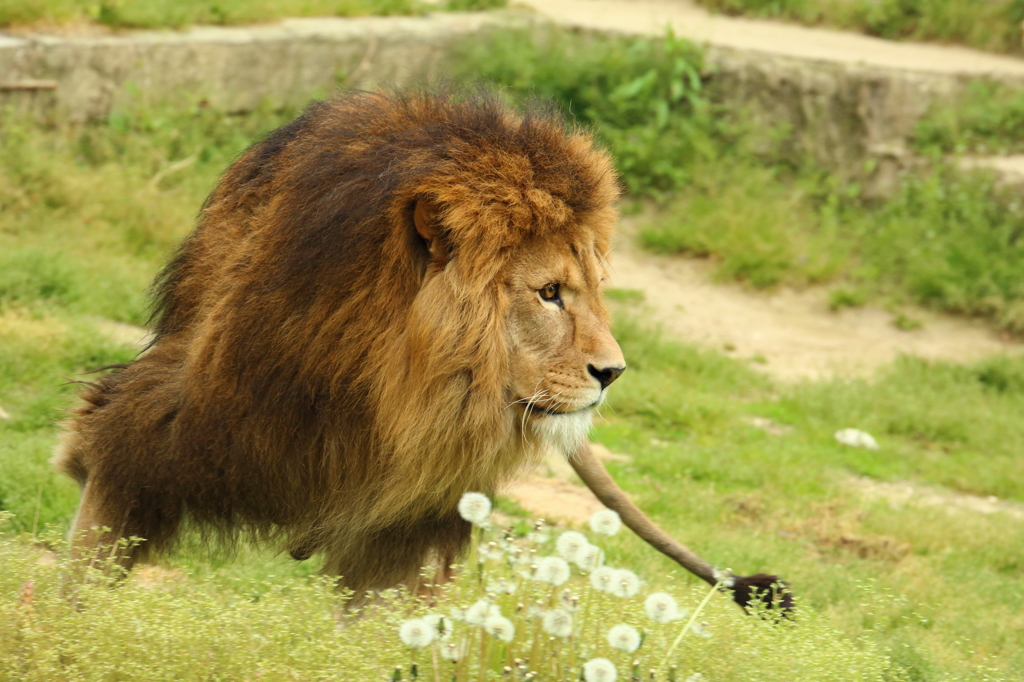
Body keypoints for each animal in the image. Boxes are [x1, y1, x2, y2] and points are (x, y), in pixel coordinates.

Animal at [54, 89, 790, 606]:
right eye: (550, 293)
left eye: (593, 291)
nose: (613, 372)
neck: (388, 388)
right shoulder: (174, 416)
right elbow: (95, 531)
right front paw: (68, 630)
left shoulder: (414, 521)